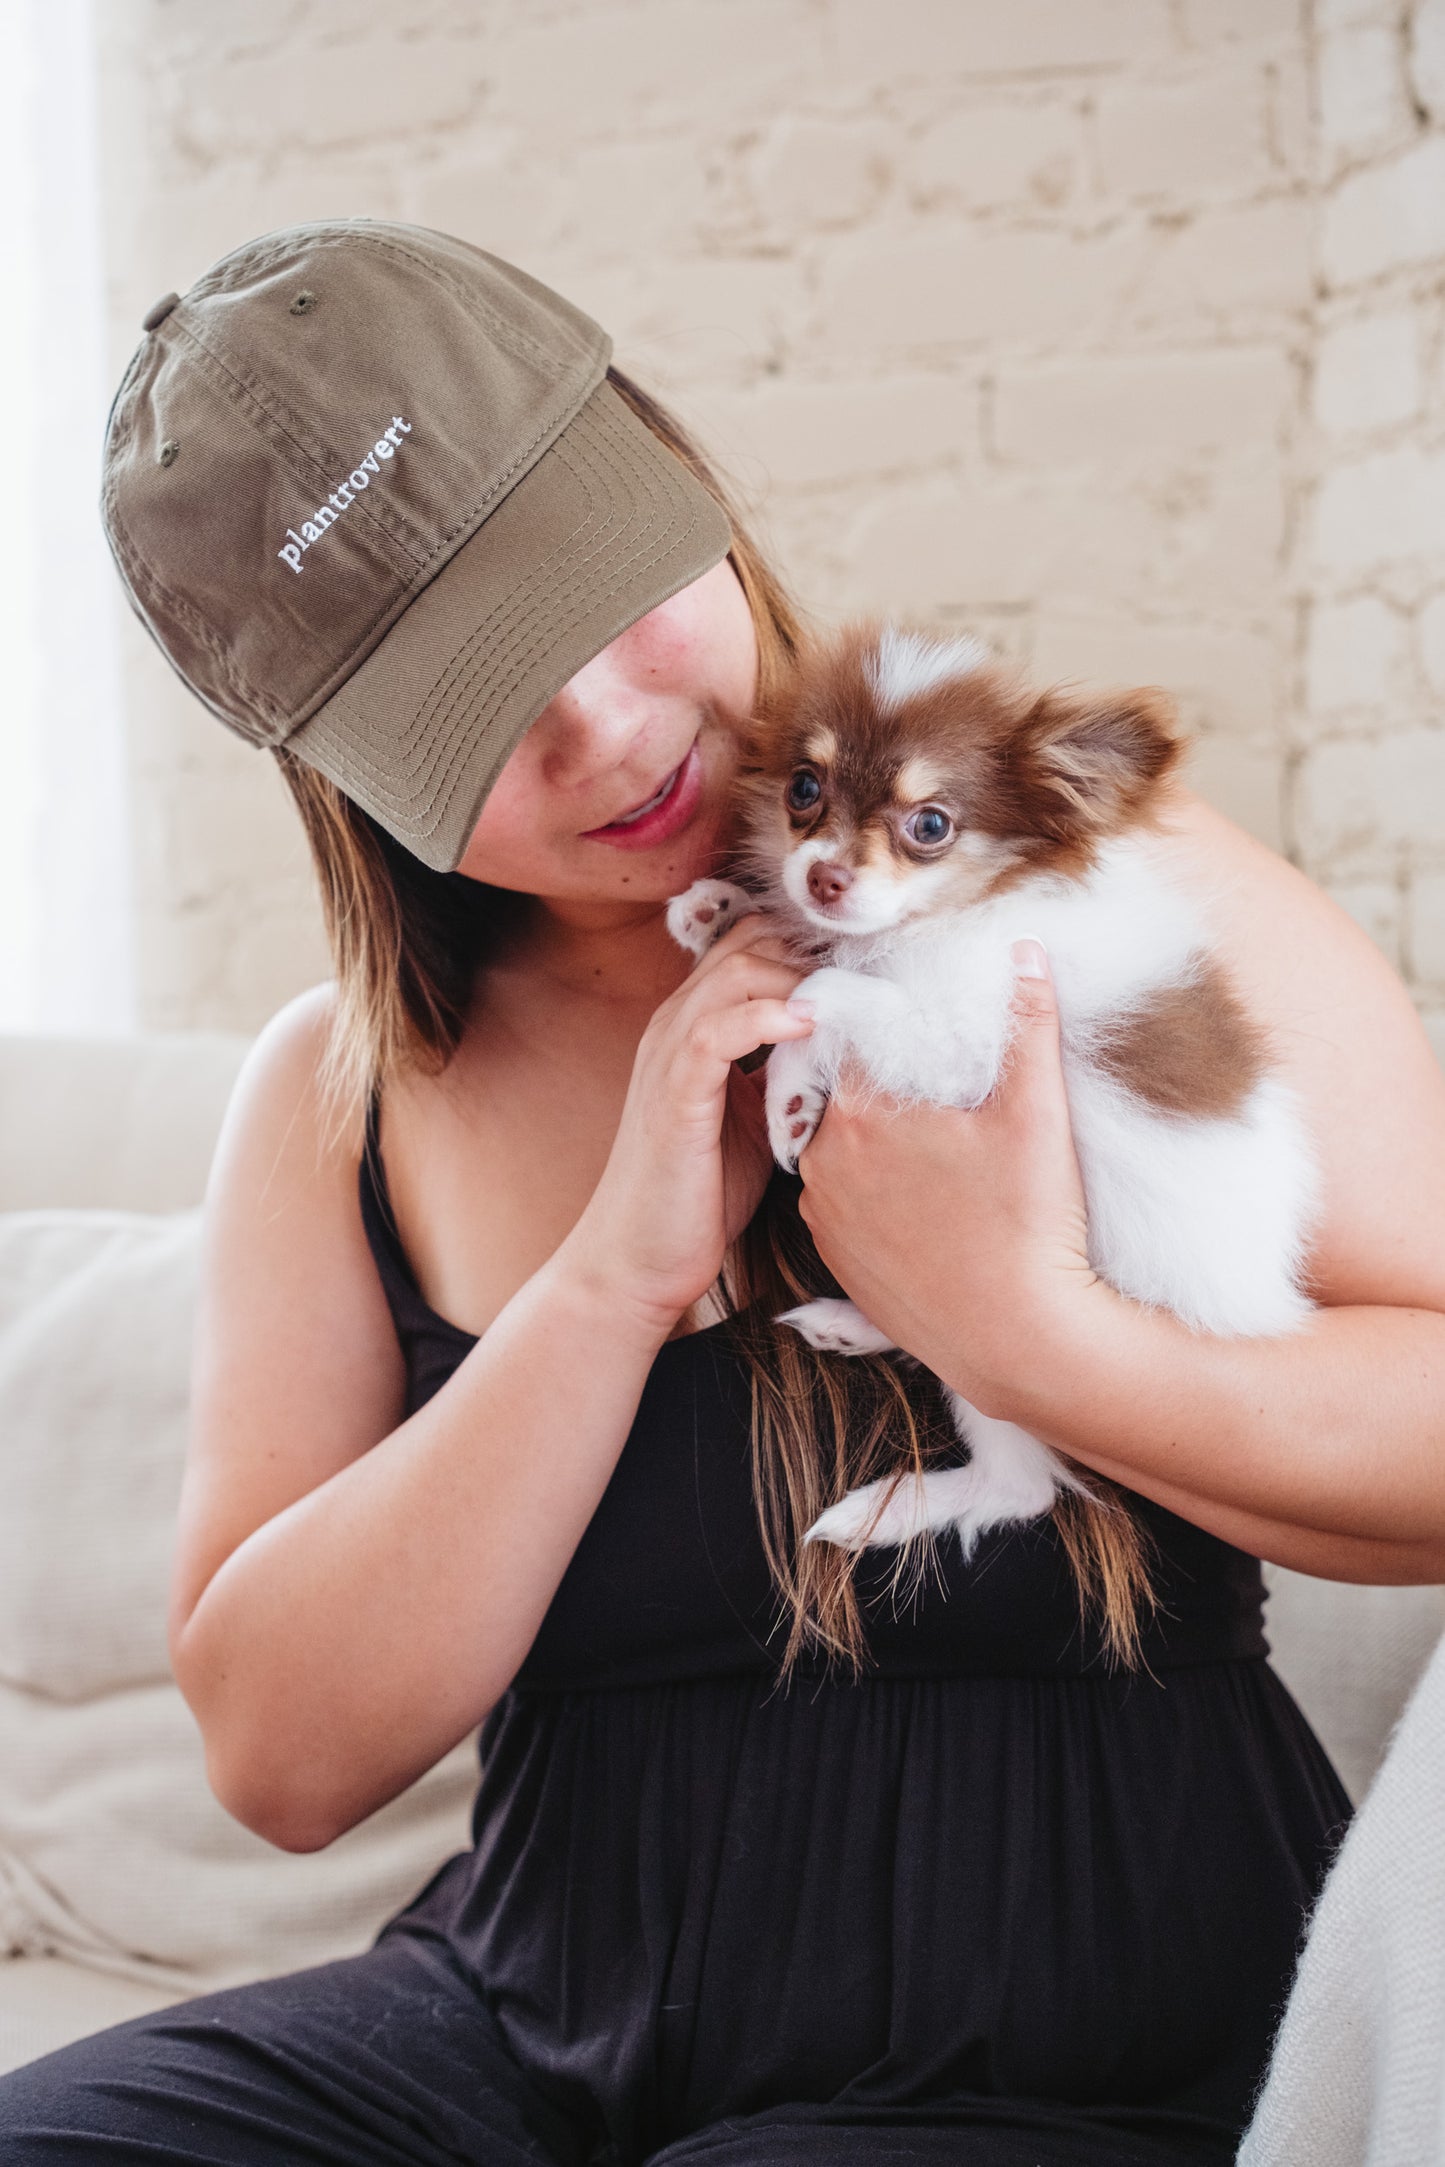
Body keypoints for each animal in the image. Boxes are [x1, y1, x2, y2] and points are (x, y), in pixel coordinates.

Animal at [667, 628, 1325, 1560]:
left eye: (929, 825)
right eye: (803, 788)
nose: (823, 877)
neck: (946, 919)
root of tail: (1255, 1307)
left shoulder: (966, 1042)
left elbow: (821, 988)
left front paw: (789, 1086)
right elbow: (813, 956)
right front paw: (720, 909)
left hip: (1007, 1361)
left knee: (1018, 1487)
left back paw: (881, 1510)